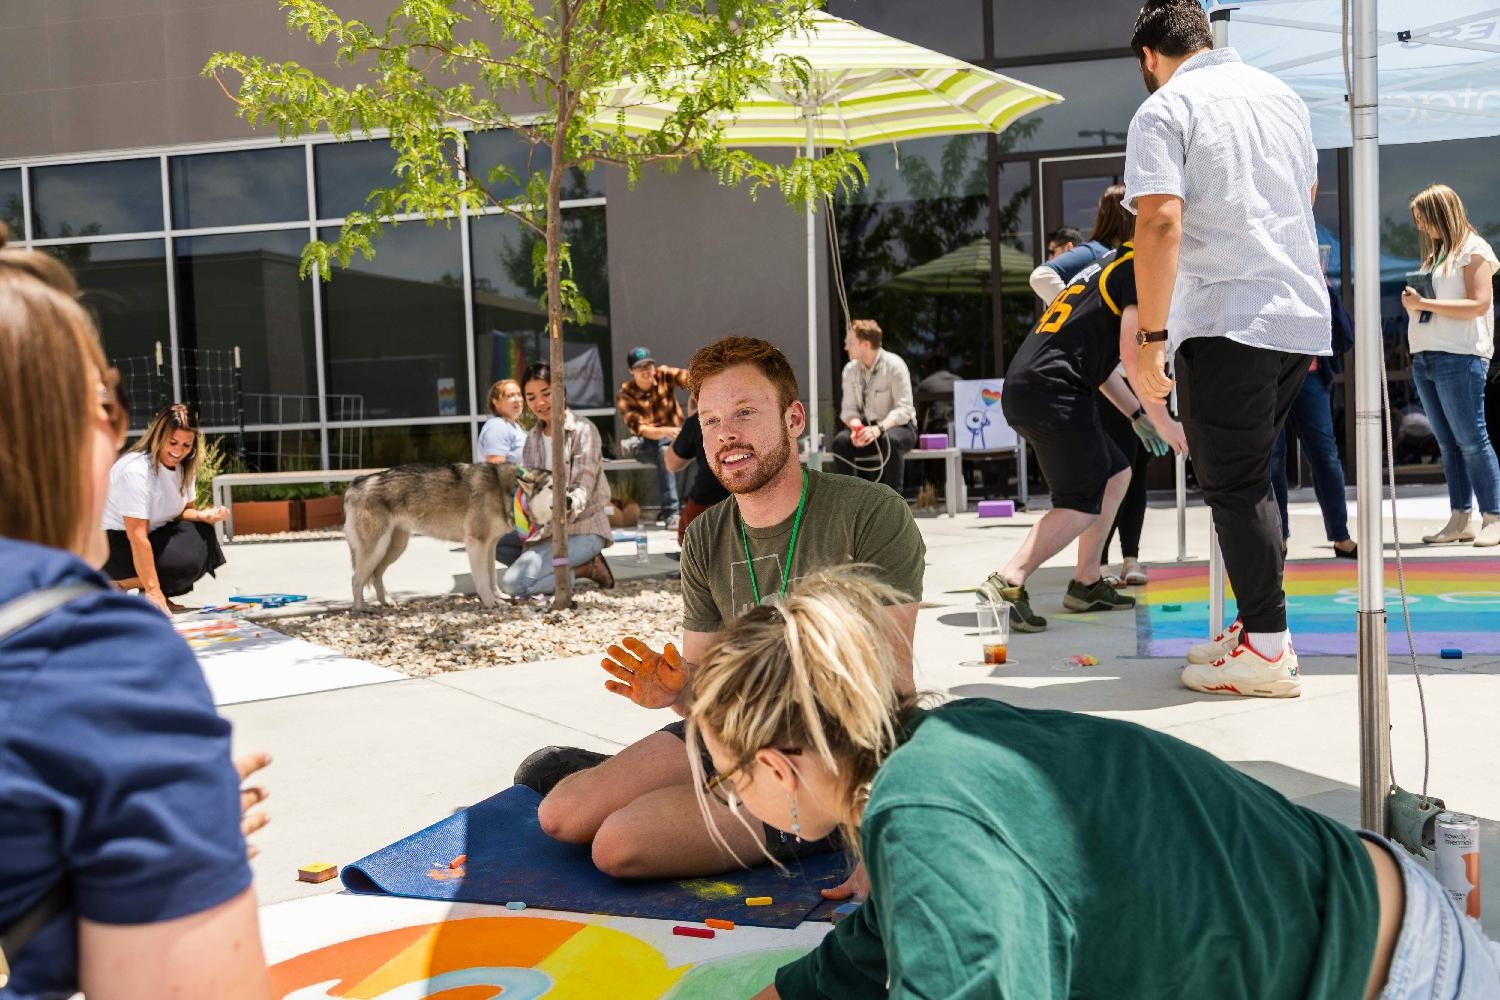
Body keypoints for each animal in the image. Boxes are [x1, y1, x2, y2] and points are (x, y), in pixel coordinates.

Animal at [343, 461, 555, 611]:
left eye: (561, 485)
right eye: (551, 487)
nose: (565, 498)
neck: (508, 492)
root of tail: (355, 483)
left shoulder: (490, 545)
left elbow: (492, 575)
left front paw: (498, 596)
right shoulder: (476, 543)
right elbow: (482, 579)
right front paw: (490, 602)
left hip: (394, 547)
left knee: (376, 575)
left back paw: (386, 601)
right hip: (376, 549)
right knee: (356, 579)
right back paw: (360, 609)